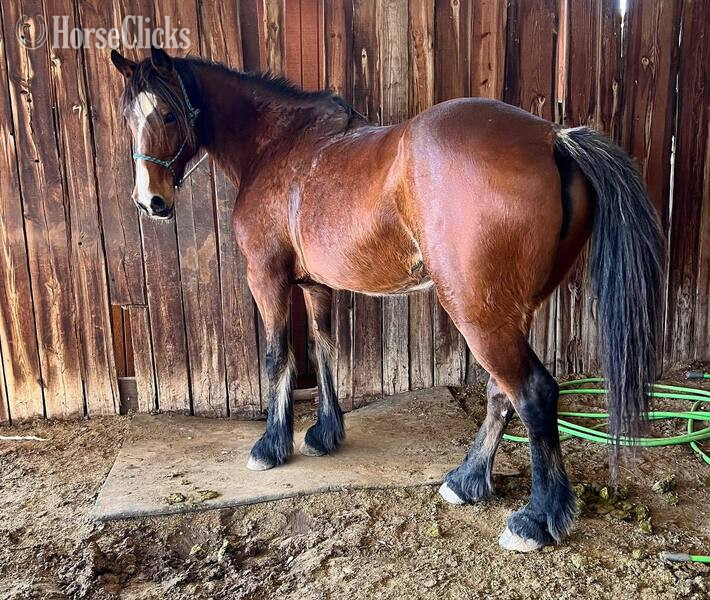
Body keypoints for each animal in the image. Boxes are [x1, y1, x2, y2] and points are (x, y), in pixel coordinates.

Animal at [111, 46, 663, 552]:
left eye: (168, 114)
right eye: (127, 117)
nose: (150, 202)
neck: (279, 147)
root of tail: (552, 138)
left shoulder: (266, 277)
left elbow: (276, 356)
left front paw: (270, 446)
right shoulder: (316, 286)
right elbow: (325, 351)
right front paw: (324, 435)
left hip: (477, 313)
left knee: (533, 392)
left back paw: (534, 519)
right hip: (507, 311)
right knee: (501, 391)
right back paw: (466, 482)